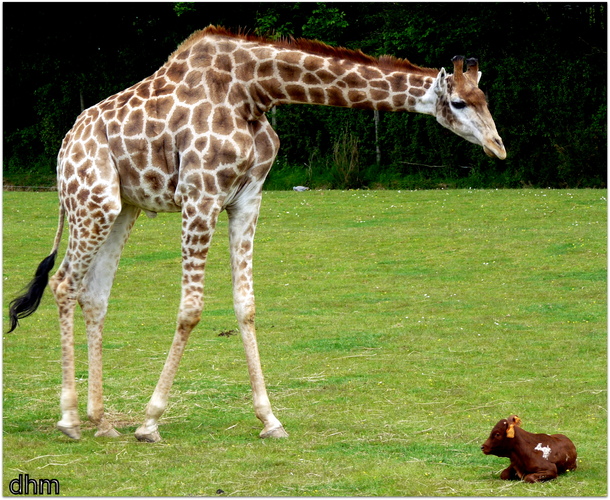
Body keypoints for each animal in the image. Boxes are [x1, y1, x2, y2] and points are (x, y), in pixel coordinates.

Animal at [8, 25, 504, 444]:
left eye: (484, 97)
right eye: (459, 103)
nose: (498, 147)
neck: (254, 90)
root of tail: (65, 146)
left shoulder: (247, 198)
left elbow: (245, 305)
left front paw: (270, 419)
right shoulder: (200, 195)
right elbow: (191, 309)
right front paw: (150, 421)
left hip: (122, 207)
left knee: (94, 294)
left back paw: (101, 420)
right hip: (92, 200)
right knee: (64, 283)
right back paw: (70, 419)